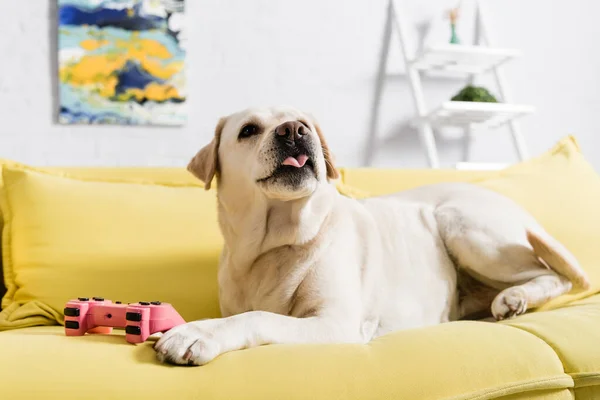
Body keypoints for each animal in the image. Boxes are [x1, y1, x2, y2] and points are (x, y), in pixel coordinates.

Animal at [152, 106, 588, 366]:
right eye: (248, 130)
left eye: (303, 122)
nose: (294, 130)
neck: (274, 245)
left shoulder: (335, 322)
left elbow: (257, 316)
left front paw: (198, 332)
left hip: (463, 227)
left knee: (556, 274)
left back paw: (515, 297)